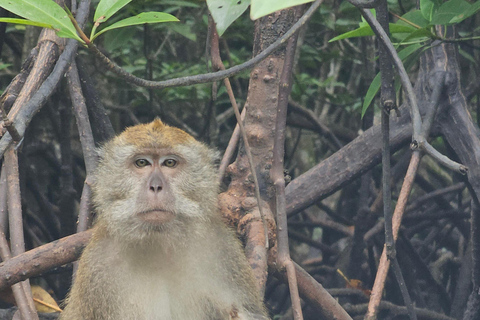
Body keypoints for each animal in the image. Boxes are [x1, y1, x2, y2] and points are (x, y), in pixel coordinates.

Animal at [60, 119, 268, 320]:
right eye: (141, 163)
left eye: (169, 163)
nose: (156, 186)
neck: (159, 243)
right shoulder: (97, 266)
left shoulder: (222, 248)